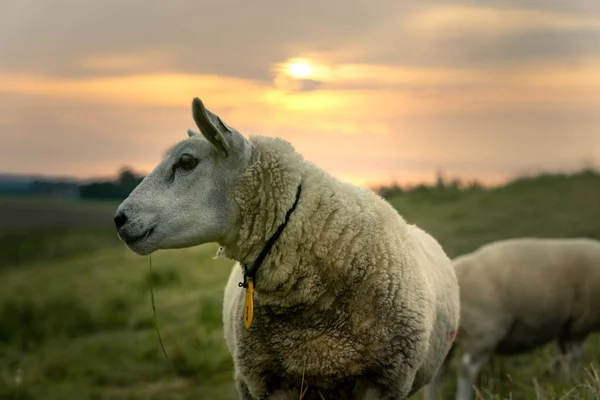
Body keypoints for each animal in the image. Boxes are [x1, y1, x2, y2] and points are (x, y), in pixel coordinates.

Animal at [424, 238, 600, 400]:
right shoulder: (579, 325)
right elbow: (574, 357)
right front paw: (573, 383)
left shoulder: (567, 327)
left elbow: (562, 358)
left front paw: (561, 383)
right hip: (483, 330)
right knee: (467, 369)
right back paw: (463, 396)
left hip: (447, 337)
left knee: (437, 374)